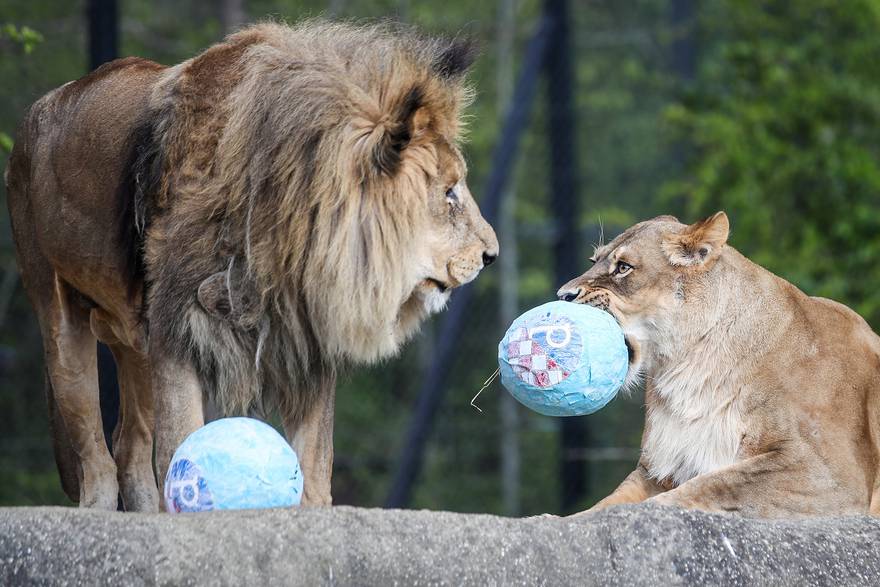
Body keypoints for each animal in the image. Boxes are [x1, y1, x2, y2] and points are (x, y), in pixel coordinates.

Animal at [6, 21, 498, 510]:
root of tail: (38, 110)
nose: (491, 254)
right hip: (60, 322)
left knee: (129, 446)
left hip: (135, 344)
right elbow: (180, 442)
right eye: (449, 192)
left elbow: (315, 464)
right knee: (95, 454)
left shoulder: (307, 346)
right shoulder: (175, 329)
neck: (288, 237)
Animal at [560, 214, 880, 516]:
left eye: (624, 267)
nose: (563, 295)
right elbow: (606, 504)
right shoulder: (656, 468)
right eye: (594, 261)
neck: (688, 366)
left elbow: (716, 484)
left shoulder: (831, 474)